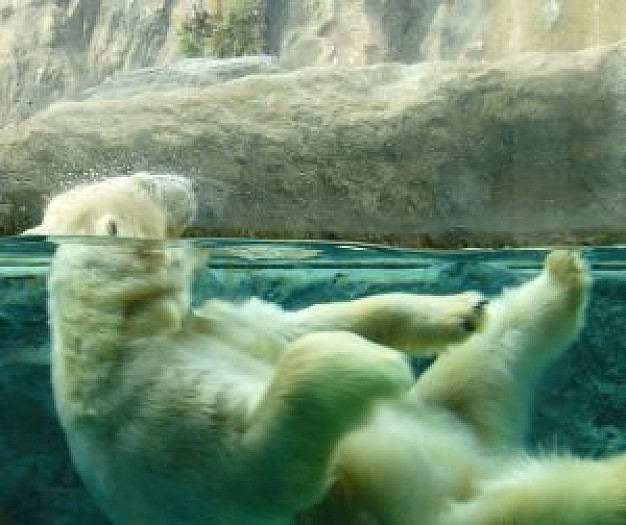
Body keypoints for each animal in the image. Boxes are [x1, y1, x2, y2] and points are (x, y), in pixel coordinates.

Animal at [24, 173, 624, 524]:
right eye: (145, 184)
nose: (184, 179)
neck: (127, 333)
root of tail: (485, 468)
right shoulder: (148, 422)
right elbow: (257, 466)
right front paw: (377, 365)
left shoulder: (216, 324)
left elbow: (295, 326)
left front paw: (455, 311)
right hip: (452, 514)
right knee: (546, 501)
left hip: (464, 421)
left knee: (485, 365)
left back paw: (561, 277)